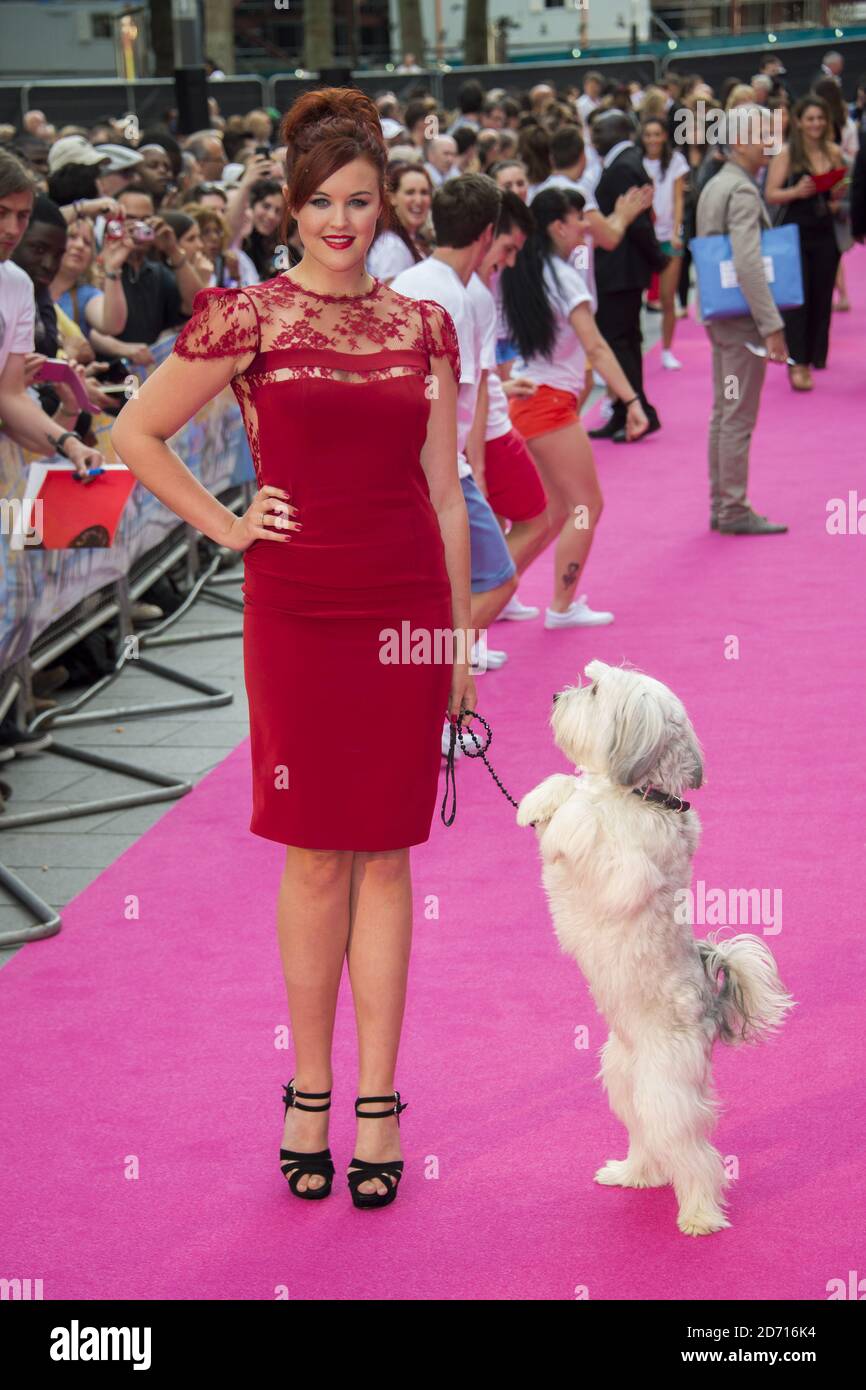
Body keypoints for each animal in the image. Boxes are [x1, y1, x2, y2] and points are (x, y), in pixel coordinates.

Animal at [517, 661, 795, 1239]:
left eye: (595, 689)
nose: (555, 694)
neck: (643, 795)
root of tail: (712, 1006)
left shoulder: (626, 872)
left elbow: (585, 818)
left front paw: (569, 809)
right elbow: (569, 786)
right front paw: (539, 801)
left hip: (666, 1090)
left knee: (695, 1156)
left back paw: (699, 1214)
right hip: (627, 1081)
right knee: (648, 1139)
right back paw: (634, 1174)